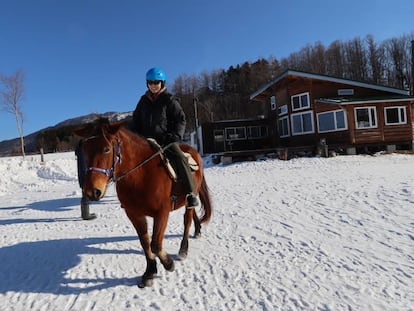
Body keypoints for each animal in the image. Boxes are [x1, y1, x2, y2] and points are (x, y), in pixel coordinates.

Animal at [73, 117, 213, 288]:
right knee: (192, 216)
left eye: (106, 149)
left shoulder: (162, 213)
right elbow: (145, 243)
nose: (92, 191)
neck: (140, 176)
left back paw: (183, 249)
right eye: (85, 150)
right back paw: (197, 231)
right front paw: (150, 272)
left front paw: (168, 264)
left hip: (191, 196)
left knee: (187, 220)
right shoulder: (134, 214)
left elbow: (155, 244)